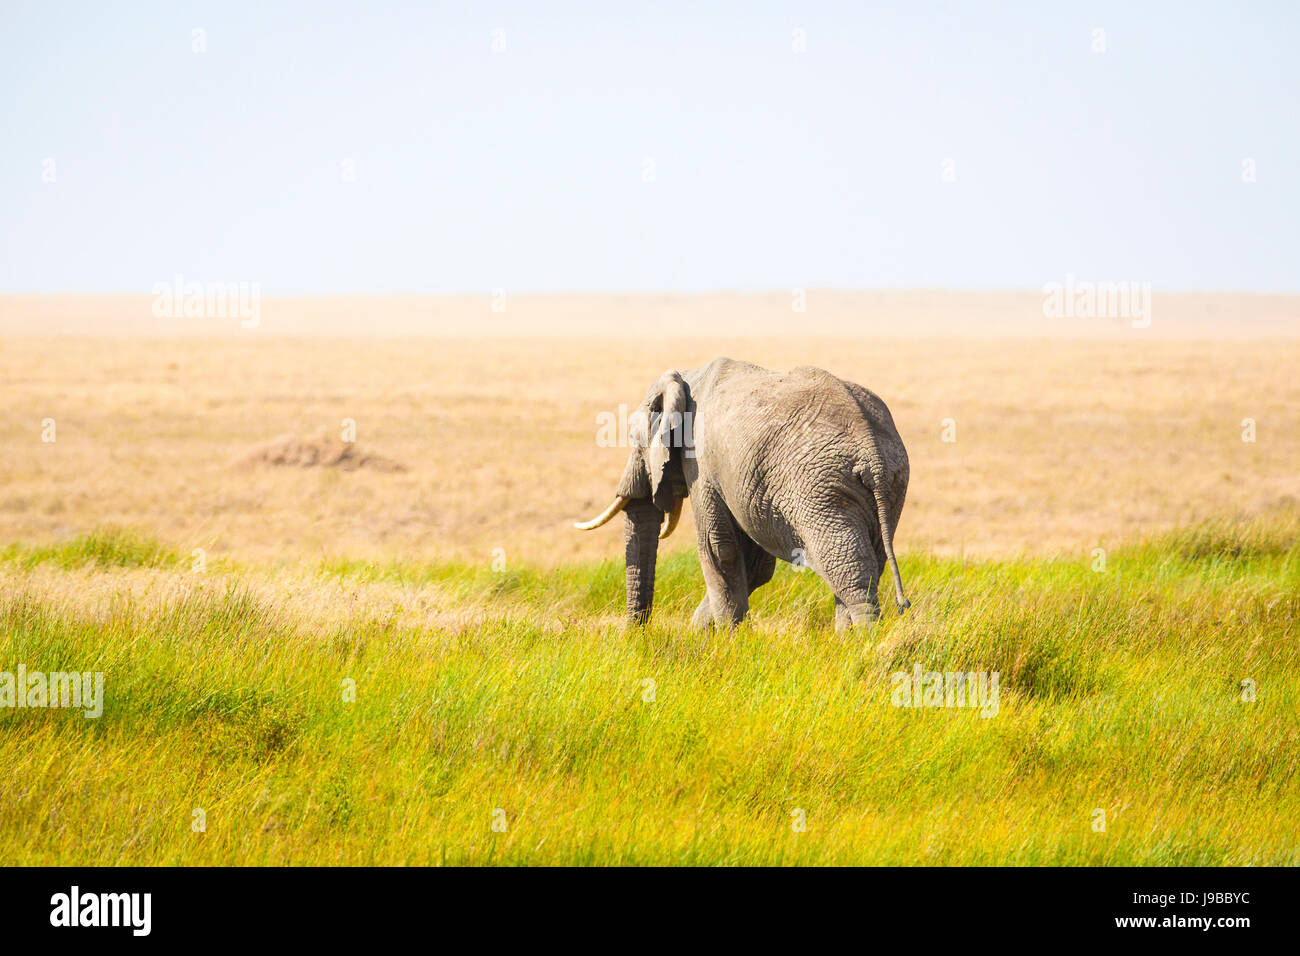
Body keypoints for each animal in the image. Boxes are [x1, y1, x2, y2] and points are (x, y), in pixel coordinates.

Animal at [574, 356, 909, 632]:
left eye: (634, 439)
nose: (636, 637)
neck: (687, 377)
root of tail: (872, 454)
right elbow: (755, 565)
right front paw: (702, 633)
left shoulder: (702, 464)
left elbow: (719, 549)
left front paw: (727, 641)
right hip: (890, 486)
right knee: (869, 561)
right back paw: (845, 642)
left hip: (822, 490)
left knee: (848, 568)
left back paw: (865, 643)